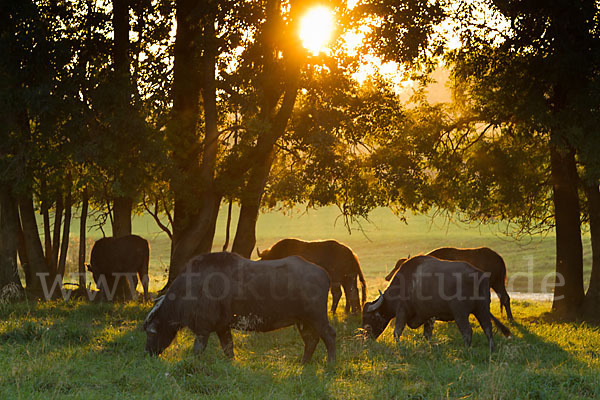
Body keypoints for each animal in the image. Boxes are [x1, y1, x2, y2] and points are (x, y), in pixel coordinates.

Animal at [142, 255, 336, 364]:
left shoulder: (203, 329)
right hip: (303, 321)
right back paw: (303, 364)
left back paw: (331, 366)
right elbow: (228, 348)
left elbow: (198, 350)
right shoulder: (222, 327)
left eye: (151, 332)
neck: (190, 288)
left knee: (329, 335)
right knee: (311, 340)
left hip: (317, 317)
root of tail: (324, 273)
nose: (148, 353)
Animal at [360, 255, 510, 352]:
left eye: (369, 319)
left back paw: (467, 350)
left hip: (460, 313)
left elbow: (397, 332)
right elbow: (427, 335)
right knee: (488, 329)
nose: (365, 339)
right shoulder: (428, 316)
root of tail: (478, 274)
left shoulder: (402, 311)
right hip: (482, 309)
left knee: (467, 331)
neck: (404, 284)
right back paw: (491, 351)